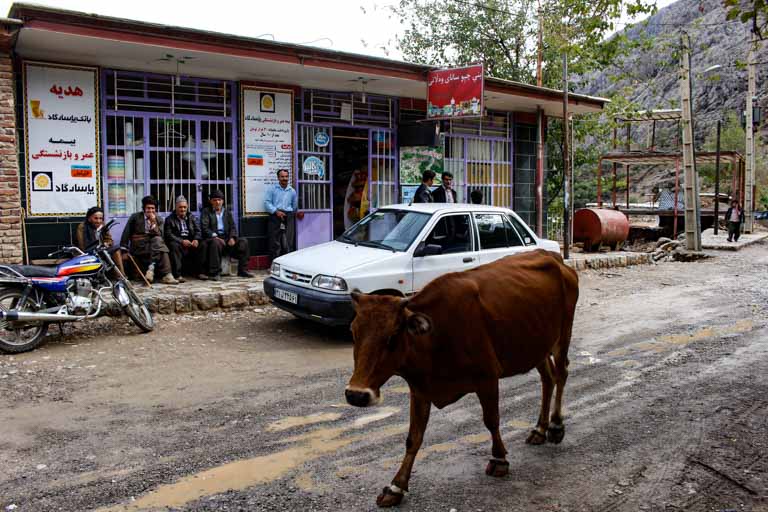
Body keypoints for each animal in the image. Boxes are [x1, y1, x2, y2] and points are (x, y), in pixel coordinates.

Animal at [346, 249, 576, 508]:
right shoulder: (420, 389)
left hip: (562, 336)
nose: (356, 394)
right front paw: (396, 487)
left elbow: (491, 420)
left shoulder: (488, 378)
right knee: (548, 379)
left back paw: (556, 426)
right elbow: (413, 438)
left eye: (393, 336)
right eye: (353, 332)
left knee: (561, 374)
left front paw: (499, 460)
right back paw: (539, 429)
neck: (435, 338)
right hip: (537, 345)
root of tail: (554, 257)